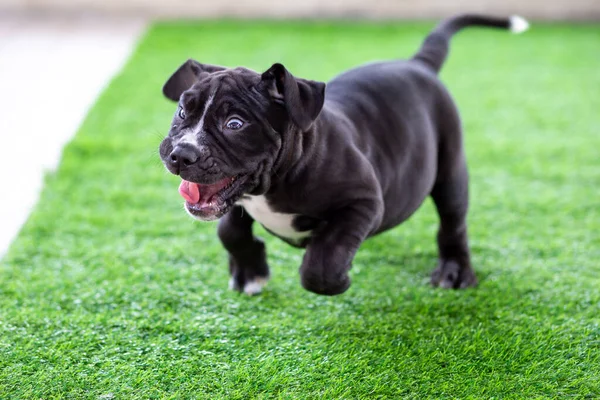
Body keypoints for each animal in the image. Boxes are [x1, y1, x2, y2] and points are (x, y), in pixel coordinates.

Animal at [159, 14, 528, 296]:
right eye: (182, 111)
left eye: (235, 123)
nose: (181, 154)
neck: (277, 180)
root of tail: (419, 65)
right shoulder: (237, 200)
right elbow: (229, 231)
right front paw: (249, 273)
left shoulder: (363, 202)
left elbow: (323, 262)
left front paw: (338, 277)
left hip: (450, 169)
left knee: (453, 223)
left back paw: (455, 271)